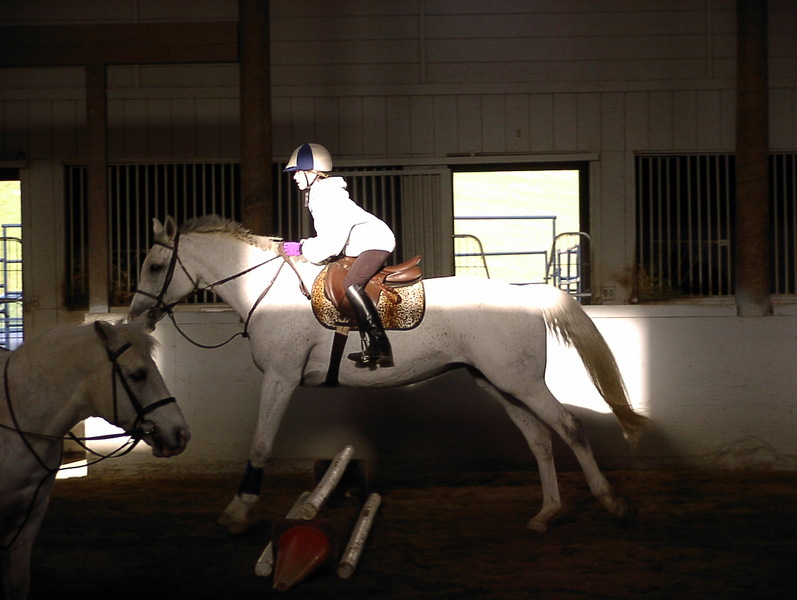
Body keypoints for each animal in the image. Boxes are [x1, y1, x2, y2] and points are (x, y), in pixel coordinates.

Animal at [129, 215, 647, 536]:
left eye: (155, 265)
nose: (136, 317)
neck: (264, 288)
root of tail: (524, 294)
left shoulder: (280, 377)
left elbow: (260, 443)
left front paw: (238, 511)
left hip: (521, 383)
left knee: (570, 427)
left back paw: (612, 502)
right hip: (500, 383)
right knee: (539, 439)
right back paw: (547, 513)